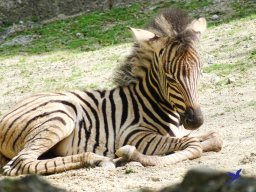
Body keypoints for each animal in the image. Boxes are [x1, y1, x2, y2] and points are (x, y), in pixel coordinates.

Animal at [0, 8, 222, 176]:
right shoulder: (133, 134)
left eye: (200, 71)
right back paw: (99, 160)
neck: (149, 101)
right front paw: (130, 154)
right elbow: (194, 145)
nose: (195, 121)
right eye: (169, 77)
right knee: (21, 163)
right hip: (59, 116)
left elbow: (214, 137)